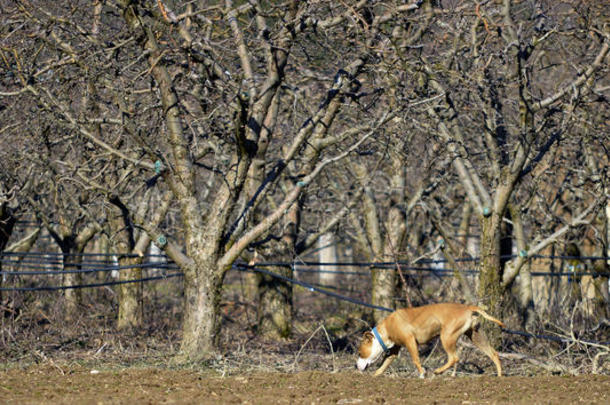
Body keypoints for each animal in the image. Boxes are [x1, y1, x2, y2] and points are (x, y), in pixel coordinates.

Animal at [354, 304, 502, 376]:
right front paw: (374, 376)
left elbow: (416, 360)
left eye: (360, 353)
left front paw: (422, 374)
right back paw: (500, 377)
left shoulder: (410, 341)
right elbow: (383, 366)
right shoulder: (394, 351)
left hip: (446, 336)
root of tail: (467, 308)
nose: (356, 366)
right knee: (493, 354)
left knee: (454, 358)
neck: (385, 330)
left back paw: (438, 371)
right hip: (476, 336)